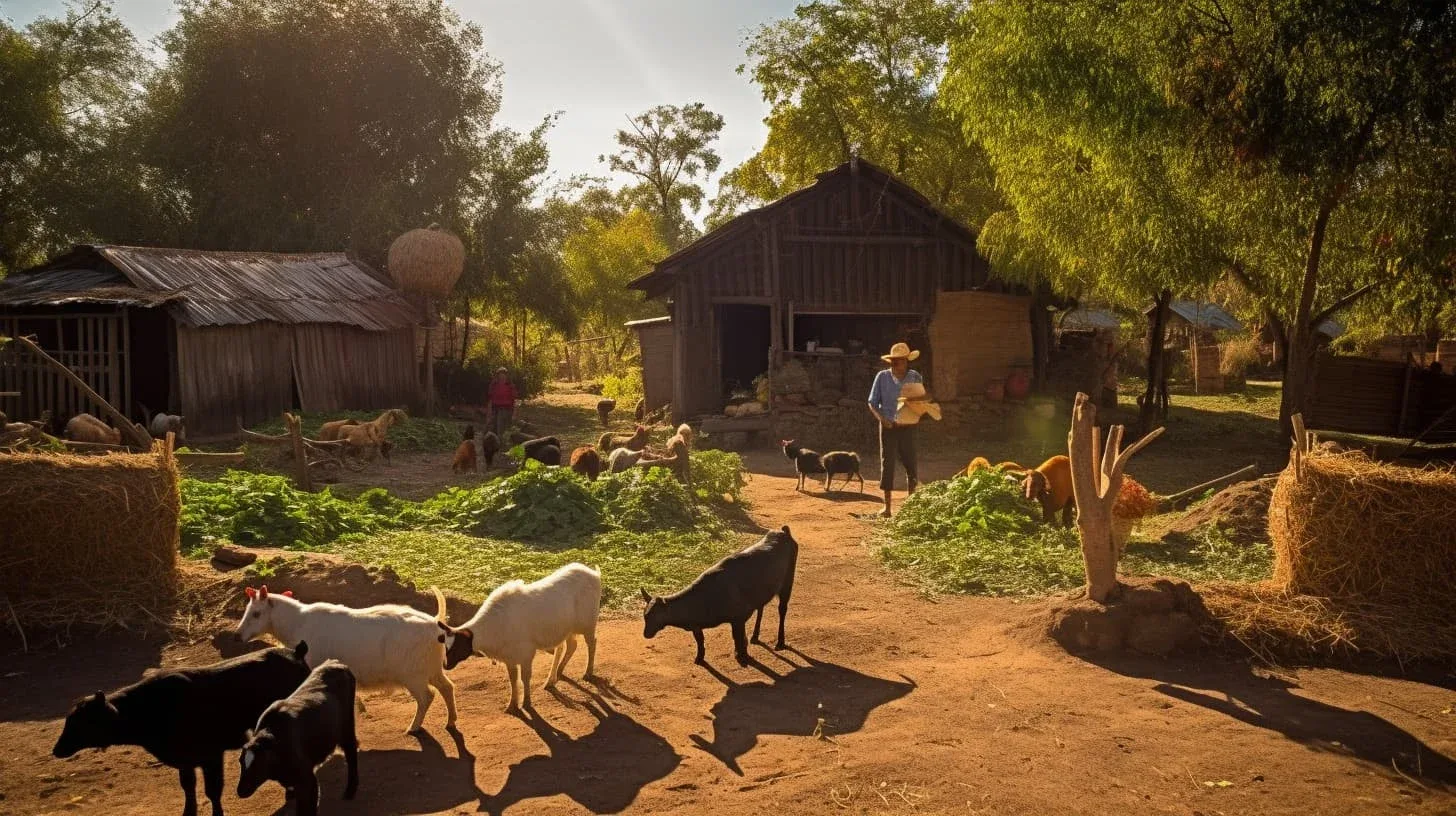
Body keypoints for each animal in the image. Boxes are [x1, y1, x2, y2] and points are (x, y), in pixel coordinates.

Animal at [52, 641, 311, 816]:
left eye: (83, 722)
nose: (56, 750)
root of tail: (295, 652)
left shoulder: (211, 756)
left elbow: (213, 790)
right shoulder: (186, 761)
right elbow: (188, 787)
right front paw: (188, 812)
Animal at [232, 582, 454, 737]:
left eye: (256, 613)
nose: (237, 636)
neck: (297, 623)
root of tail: (435, 622)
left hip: (413, 675)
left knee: (427, 696)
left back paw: (413, 728)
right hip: (432, 669)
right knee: (447, 687)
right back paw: (450, 722)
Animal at [235, 658, 358, 810]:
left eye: (259, 763)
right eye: (241, 762)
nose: (241, 791)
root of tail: (336, 663)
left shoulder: (307, 780)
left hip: (347, 729)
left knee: (351, 752)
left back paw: (350, 791)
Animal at [439, 559, 605, 714]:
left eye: (458, 645)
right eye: (444, 645)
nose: (445, 665)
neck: (493, 627)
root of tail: (595, 574)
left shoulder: (526, 653)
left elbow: (525, 678)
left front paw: (526, 703)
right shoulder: (509, 658)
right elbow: (513, 680)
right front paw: (512, 705)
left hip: (588, 623)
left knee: (592, 643)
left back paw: (587, 672)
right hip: (568, 629)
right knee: (571, 645)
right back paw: (555, 675)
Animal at [640, 524, 797, 667]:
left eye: (655, 616)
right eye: (645, 616)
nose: (646, 634)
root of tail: (784, 532)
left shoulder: (738, 618)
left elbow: (738, 638)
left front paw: (743, 656)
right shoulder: (698, 625)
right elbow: (700, 640)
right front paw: (700, 657)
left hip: (787, 582)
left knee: (782, 610)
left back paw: (780, 642)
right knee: (761, 607)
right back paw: (755, 636)